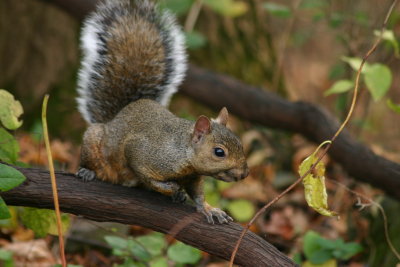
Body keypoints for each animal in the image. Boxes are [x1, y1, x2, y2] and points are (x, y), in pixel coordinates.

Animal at [75, 0, 248, 225]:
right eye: (219, 152)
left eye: (240, 143)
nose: (244, 174)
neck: (183, 152)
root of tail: (114, 118)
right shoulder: (141, 152)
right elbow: (148, 176)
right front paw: (171, 188)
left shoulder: (194, 177)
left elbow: (198, 195)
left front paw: (209, 209)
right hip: (95, 142)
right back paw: (87, 171)